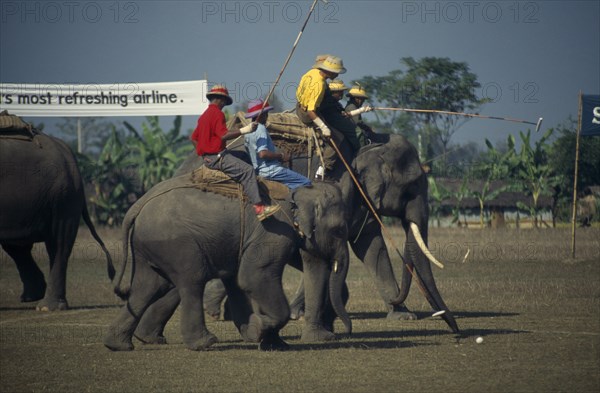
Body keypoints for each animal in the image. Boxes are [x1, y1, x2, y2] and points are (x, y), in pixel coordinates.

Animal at [0, 127, 113, 310]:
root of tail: (66, 149)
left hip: (62, 197)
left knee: (58, 242)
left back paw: (47, 307)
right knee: (18, 246)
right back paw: (31, 297)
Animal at [101, 173, 350, 350]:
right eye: (339, 230)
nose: (345, 332)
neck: (300, 189)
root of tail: (137, 205)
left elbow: (240, 280)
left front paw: (270, 341)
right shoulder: (275, 231)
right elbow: (253, 277)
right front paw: (258, 329)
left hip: (148, 246)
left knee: (148, 287)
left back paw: (118, 345)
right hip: (177, 244)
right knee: (192, 280)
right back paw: (204, 343)